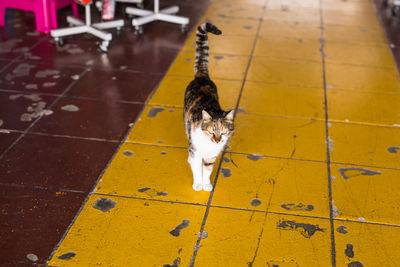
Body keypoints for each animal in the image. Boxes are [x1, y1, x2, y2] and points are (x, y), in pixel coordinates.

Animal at [184, 22, 234, 192]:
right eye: (212, 132)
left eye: (223, 132)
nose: (218, 141)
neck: (208, 145)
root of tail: (202, 76)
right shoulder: (195, 151)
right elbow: (196, 168)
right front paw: (197, 184)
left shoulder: (211, 156)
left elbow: (207, 170)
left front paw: (206, 184)